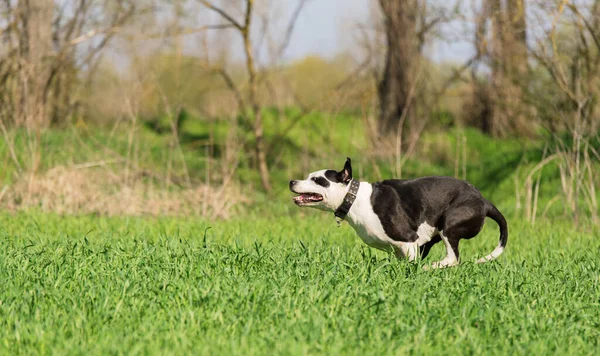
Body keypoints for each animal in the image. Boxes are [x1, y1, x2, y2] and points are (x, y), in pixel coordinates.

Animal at [288, 157, 508, 268]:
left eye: (317, 180)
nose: (292, 182)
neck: (355, 198)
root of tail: (484, 201)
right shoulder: (401, 249)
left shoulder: (409, 241)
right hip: (432, 238)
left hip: (450, 226)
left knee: (453, 258)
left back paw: (431, 267)